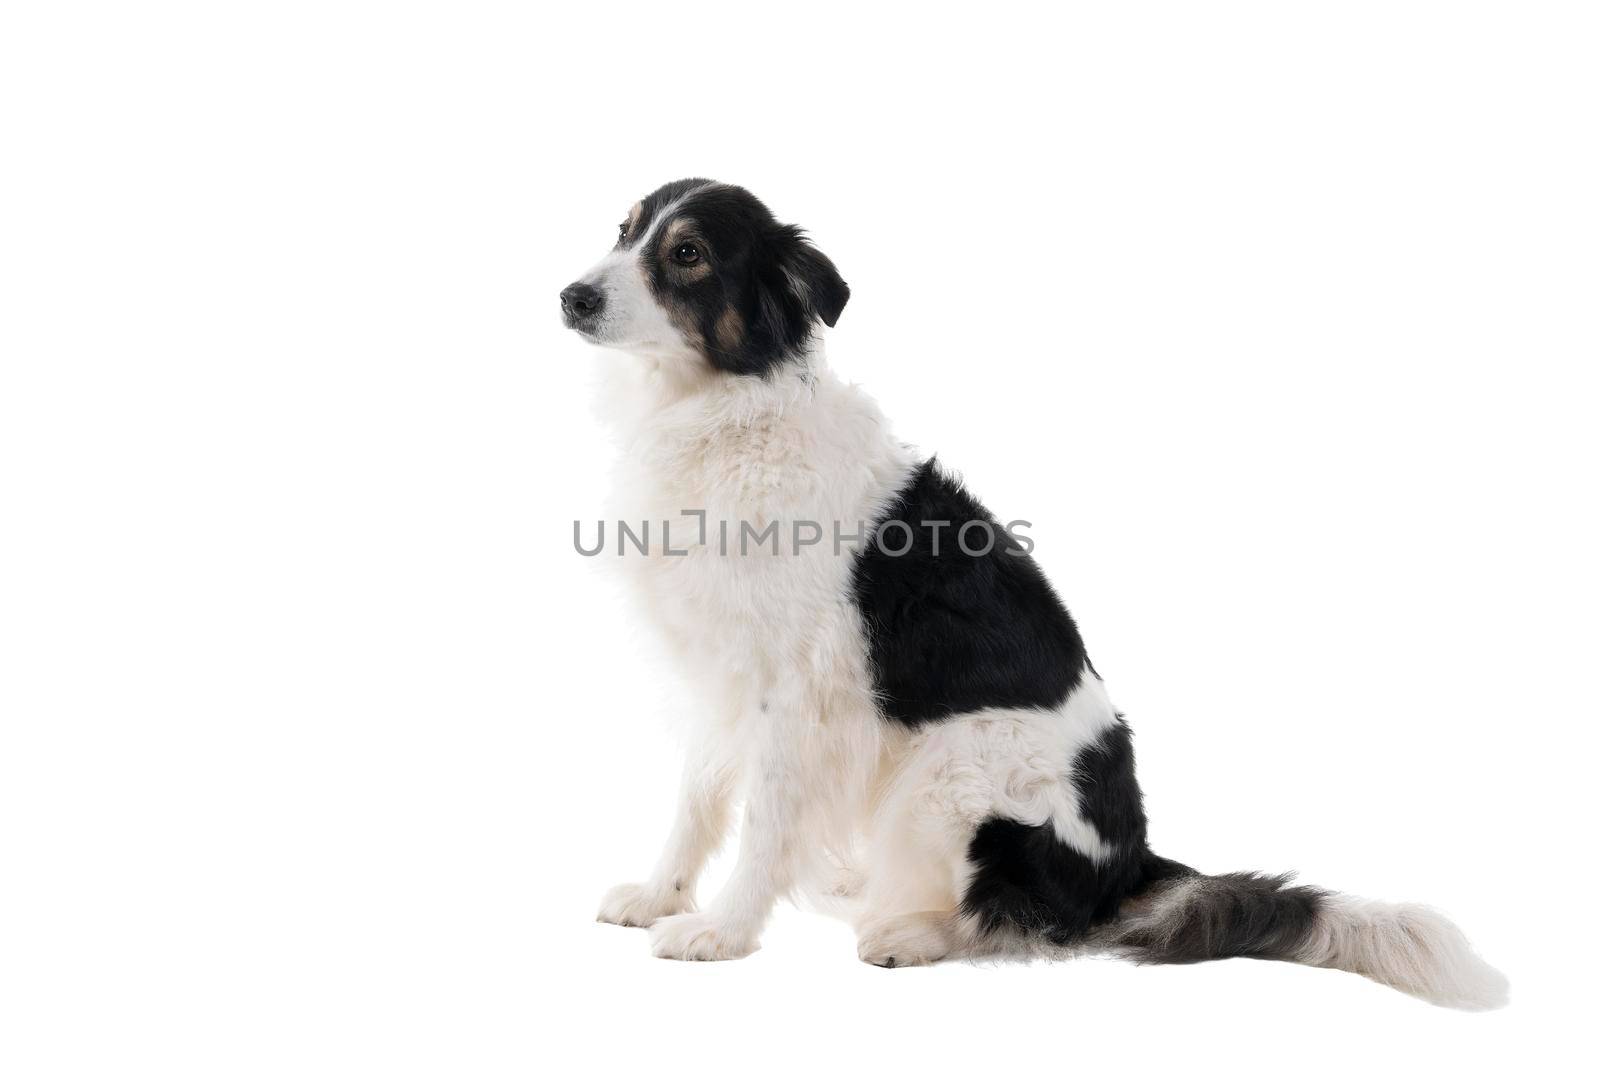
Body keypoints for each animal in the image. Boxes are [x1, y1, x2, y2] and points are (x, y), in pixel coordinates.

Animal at [556, 177, 1504, 1011]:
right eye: (624, 231)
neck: (722, 412)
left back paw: (907, 929)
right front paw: (661, 893)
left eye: (687, 254)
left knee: (1022, 918)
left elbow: (763, 822)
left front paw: (722, 930)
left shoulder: (799, 692)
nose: (571, 297)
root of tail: (1133, 862)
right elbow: (696, 802)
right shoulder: (717, 672)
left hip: (951, 774)